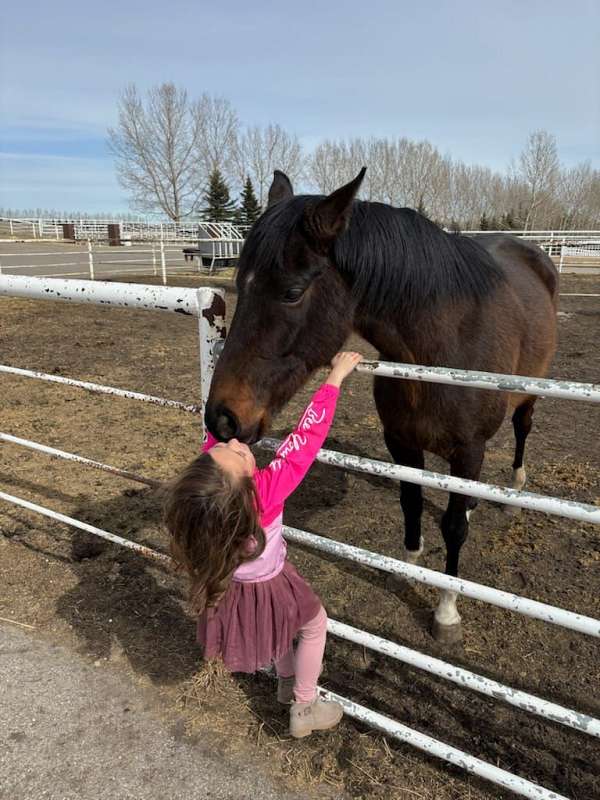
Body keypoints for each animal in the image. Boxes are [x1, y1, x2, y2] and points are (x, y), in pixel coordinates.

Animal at [205, 168, 558, 645]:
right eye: (239, 282)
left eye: (293, 292)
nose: (222, 417)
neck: (441, 348)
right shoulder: (401, 442)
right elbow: (411, 501)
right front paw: (408, 567)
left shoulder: (469, 449)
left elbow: (453, 528)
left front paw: (447, 610)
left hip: (528, 394)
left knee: (522, 427)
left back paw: (514, 489)